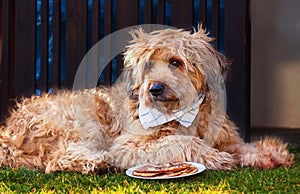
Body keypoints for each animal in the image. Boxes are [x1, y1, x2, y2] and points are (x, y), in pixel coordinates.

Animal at [0, 26, 296, 174]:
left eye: (176, 62)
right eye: (148, 65)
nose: (154, 89)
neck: (181, 111)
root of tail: (8, 133)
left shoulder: (225, 136)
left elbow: (242, 146)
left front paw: (268, 154)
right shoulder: (128, 144)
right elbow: (181, 142)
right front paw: (215, 157)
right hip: (82, 123)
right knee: (59, 158)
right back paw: (97, 162)